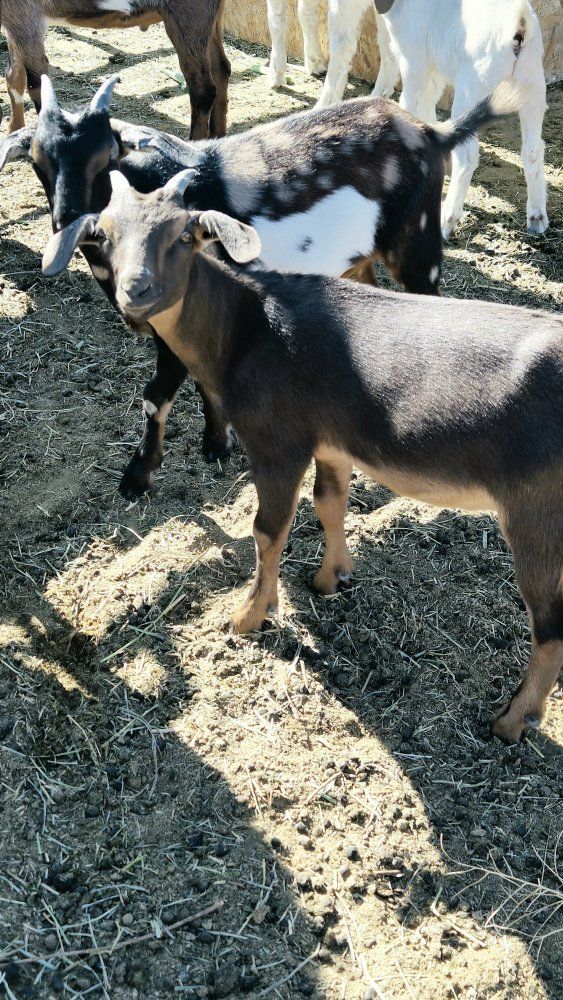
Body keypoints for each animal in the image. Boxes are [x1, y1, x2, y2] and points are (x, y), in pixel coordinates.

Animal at [0, 0, 230, 139]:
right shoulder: (14, 21)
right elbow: (14, 77)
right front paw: (13, 132)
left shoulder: (26, 16)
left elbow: (37, 87)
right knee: (221, 69)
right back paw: (218, 140)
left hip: (189, 15)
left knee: (202, 88)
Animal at [0, 77, 515, 499]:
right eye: (38, 161)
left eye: (108, 156)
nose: (71, 220)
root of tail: (433, 132)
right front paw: (216, 444)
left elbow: (157, 394)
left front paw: (137, 477)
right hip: (358, 257)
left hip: (416, 244)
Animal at [41, 169, 563, 745]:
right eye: (106, 235)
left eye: (183, 235)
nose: (137, 290)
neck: (245, 329)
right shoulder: (332, 442)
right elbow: (328, 504)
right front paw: (331, 579)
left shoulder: (277, 442)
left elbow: (268, 530)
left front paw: (249, 615)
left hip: (537, 509)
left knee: (550, 621)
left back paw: (513, 719)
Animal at [314, 0, 548, 238]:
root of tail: (519, 24)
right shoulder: (433, 71)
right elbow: (428, 107)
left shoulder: (414, 62)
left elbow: (410, 103)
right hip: (532, 93)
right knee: (533, 151)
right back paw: (537, 218)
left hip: (473, 91)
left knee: (468, 157)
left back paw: (447, 220)